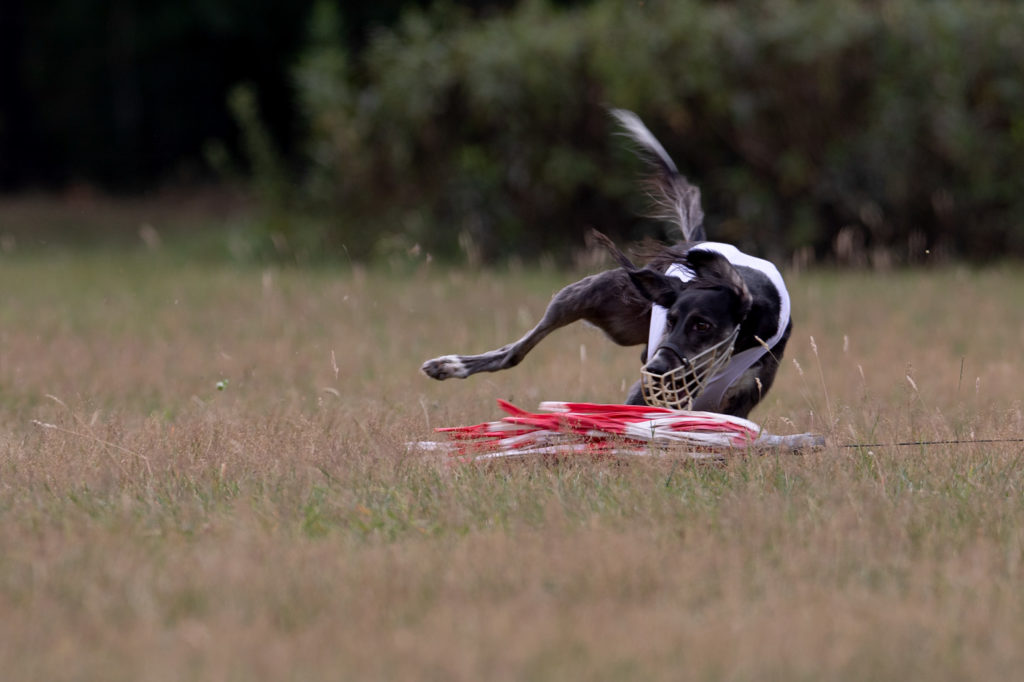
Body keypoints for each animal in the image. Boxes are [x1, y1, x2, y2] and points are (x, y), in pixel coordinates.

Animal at [419, 109, 786, 417]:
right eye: (670, 320)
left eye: (703, 325)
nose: (656, 367)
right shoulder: (653, 387)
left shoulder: (735, 398)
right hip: (582, 296)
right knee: (515, 351)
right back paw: (448, 365)